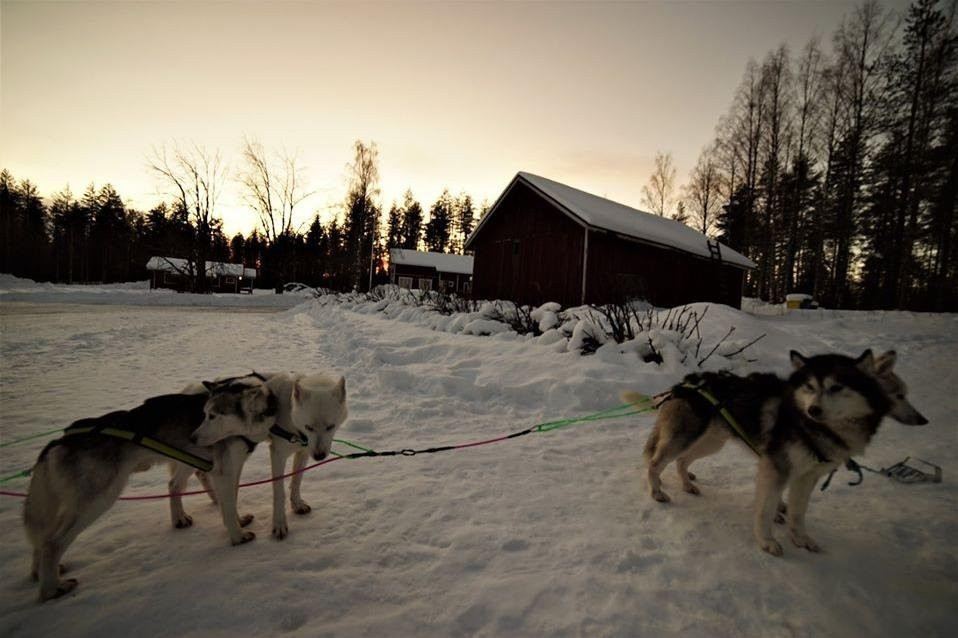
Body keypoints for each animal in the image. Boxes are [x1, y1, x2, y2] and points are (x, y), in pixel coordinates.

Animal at [22, 380, 278, 604]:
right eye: (205, 414)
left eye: (213, 416)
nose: (192, 437)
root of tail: (62, 439)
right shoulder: (224, 471)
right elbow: (228, 507)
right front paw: (238, 537)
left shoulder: (232, 467)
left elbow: (230, 502)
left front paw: (239, 521)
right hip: (98, 499)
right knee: (52, 542)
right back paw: (51, 589)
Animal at [636, 352, 928, 556]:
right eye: (899, 395)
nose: (923, 420)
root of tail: (685, 382)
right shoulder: (777, 468)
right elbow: (765, 509)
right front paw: (767, 541)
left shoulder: (805, 476)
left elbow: (798, 512)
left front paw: (800, 537)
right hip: (685, 438)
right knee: (655, 463)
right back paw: (657, 491)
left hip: (710, 442)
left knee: (682, 460)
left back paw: (687, 484)